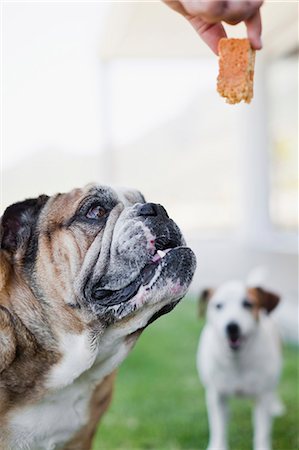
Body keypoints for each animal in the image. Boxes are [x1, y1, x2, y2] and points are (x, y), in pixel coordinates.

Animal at [198, 282, 284, 450]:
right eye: (218, 305)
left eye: (248, 304)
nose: (232, 326)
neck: (237, 361)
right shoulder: (217, 396)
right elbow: (219, 427)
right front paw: (217, 446)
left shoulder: (262, 397)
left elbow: (262, 431)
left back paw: (275, 406)